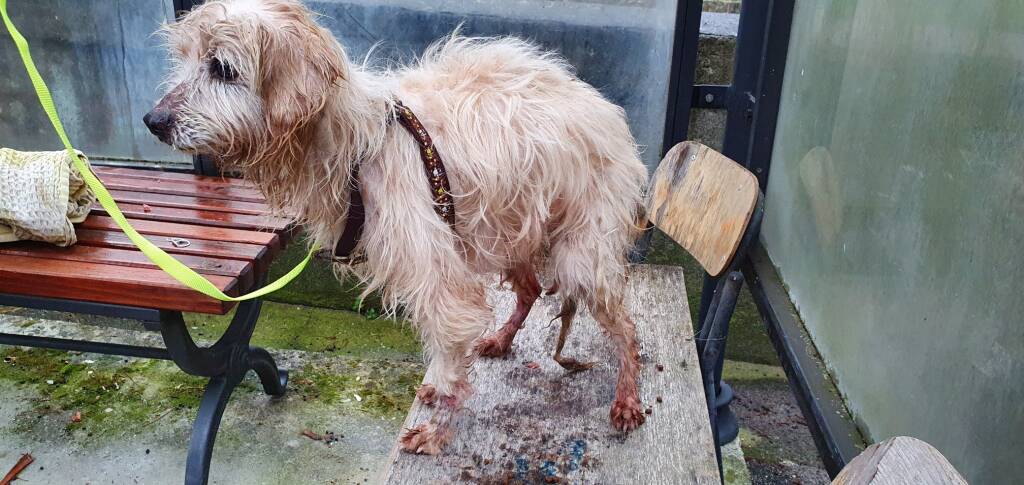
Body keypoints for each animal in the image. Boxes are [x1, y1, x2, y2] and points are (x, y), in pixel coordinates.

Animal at [146, 0, 647, 454]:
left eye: (222, 68)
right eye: (185, 59)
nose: (154, 121)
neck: (353, 147)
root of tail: (600, 106)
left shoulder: (440, 282)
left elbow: (450, 355)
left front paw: (438, 431)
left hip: (580, 253)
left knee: (626, 326)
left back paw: (627, 398)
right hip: (509, 230)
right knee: (529, 289)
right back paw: (501, 339)